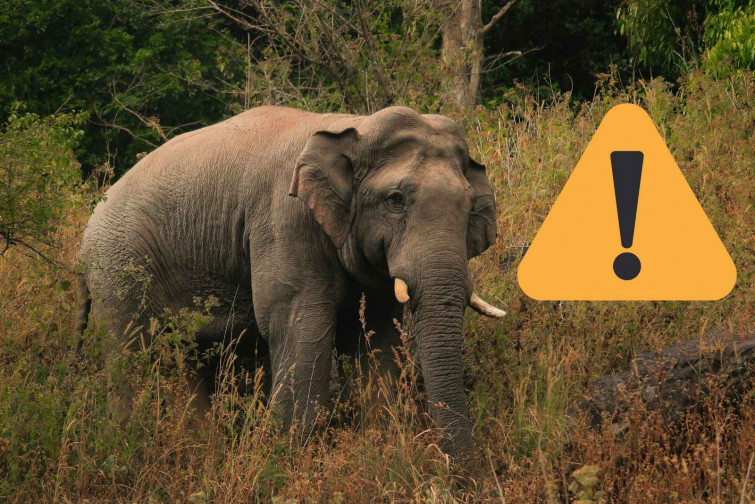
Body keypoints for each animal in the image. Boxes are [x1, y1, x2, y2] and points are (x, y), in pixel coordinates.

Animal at [76, 105, 506, 459]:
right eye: (396, 200)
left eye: (470, 206)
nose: (462, 476)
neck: (354, 126)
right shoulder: (285, 220)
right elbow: (301, 327)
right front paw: (286, 458)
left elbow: (376, 337)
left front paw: (382, 451)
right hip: (118, 265)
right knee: (131, 353)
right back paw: (127, 448)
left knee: (189, 359)